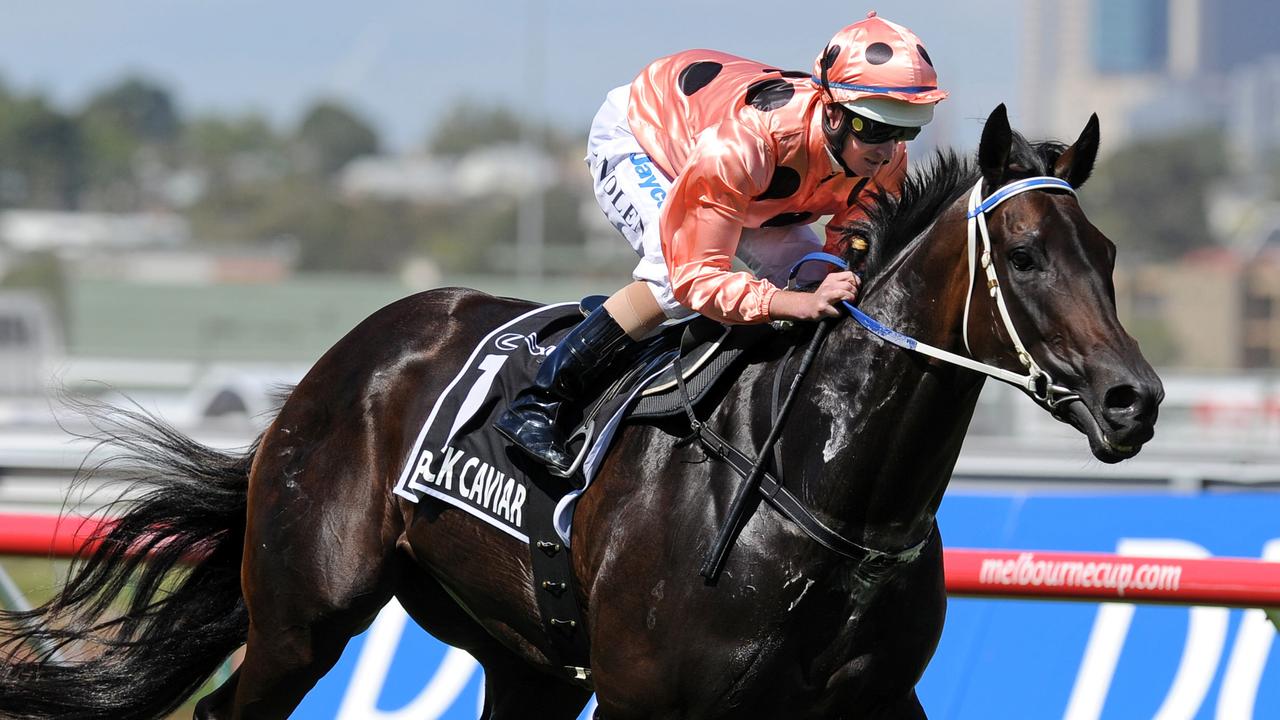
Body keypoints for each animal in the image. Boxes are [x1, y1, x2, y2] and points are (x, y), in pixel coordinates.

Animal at [0, 103, 1162, 712]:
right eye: (1024, 254)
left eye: (1107, 254)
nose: (1134, 400)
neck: (814, 487)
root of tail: (344, 359)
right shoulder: (648, 695)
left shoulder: (875, 699)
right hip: (301, 617)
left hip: (520, 658)